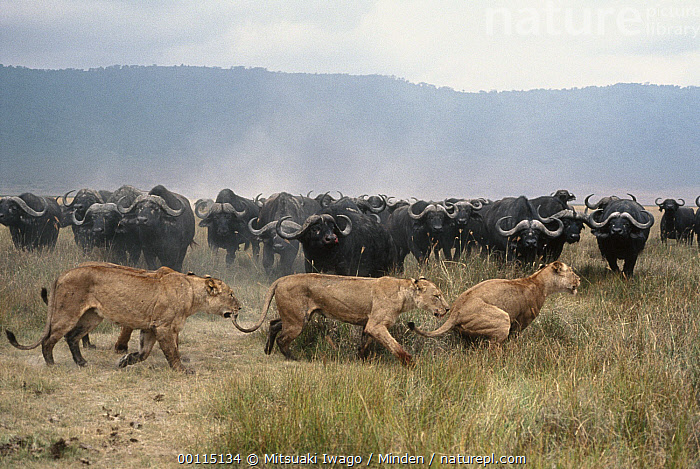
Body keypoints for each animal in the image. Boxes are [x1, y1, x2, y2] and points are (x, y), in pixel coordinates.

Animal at [6, 262, 240, 372]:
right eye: (231, 294)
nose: (240, 306)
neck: (192, 293)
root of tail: (63, 273)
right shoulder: (164, 326)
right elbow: (172, 352)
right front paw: (182, 371)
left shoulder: (150, 327)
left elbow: (144, 352)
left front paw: (125, 360)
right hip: (67, 313)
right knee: (49, 340)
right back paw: (52, 365)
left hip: (92, 317)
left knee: (71, 337)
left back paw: (82, 363)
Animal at [232, 273, 450, 365]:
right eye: (437, 295)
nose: (447, 309)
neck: (404, 294)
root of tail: (281, 279)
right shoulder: (376, 325)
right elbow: (395, 346)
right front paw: (410, 364)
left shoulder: (368, 325)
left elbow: (364, 345)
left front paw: (361, 361)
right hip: (297, 321)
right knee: (282, 338)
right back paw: (293, 358)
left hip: (296, 317)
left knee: (273, 324)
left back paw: (267, 350)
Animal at [408, 261, 580, 345]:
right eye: (571, 271)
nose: (579, 279)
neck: (539, 281)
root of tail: (455, 312)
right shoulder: (521, 321)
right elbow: (514, 338)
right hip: (502, 319)